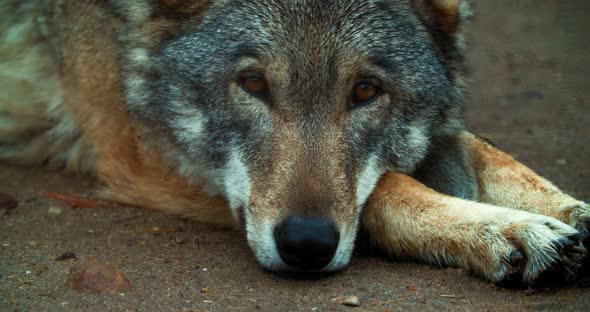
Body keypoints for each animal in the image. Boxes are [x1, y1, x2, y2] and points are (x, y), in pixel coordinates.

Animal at [1, 0, 590, 286]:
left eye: (366, 90)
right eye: (253, 83)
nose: (306, 245)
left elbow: (490, 154)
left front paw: (566, 211)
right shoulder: (135, 149)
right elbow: (387, 187)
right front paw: (505, 229)